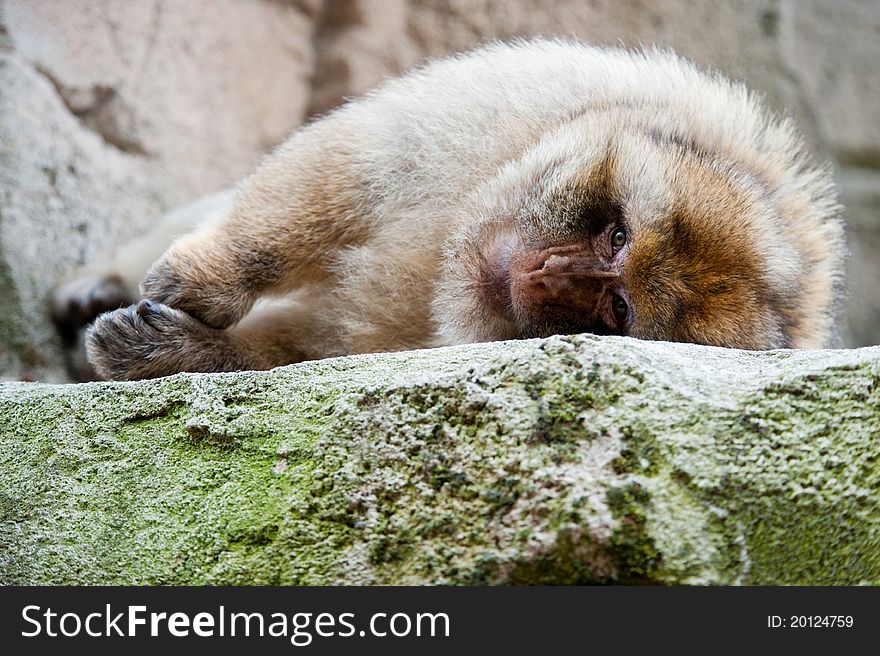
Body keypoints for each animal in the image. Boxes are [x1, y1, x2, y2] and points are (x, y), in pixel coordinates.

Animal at [49, 39, 844, 380]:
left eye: (616, 309)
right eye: (618, 234)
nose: (546, 273)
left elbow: (308, 348)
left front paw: (180, 352)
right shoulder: (529, 103)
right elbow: (349, 168)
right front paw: (210, 280)